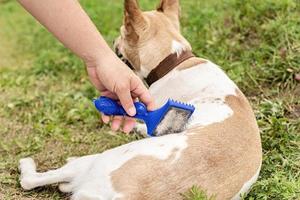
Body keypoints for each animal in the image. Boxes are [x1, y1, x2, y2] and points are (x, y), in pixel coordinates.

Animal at [19, 0, 262, 199]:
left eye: (122, 31)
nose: (113, 40)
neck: (175, 60)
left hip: (99, 159)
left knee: (32, 180)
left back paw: (28, 165)